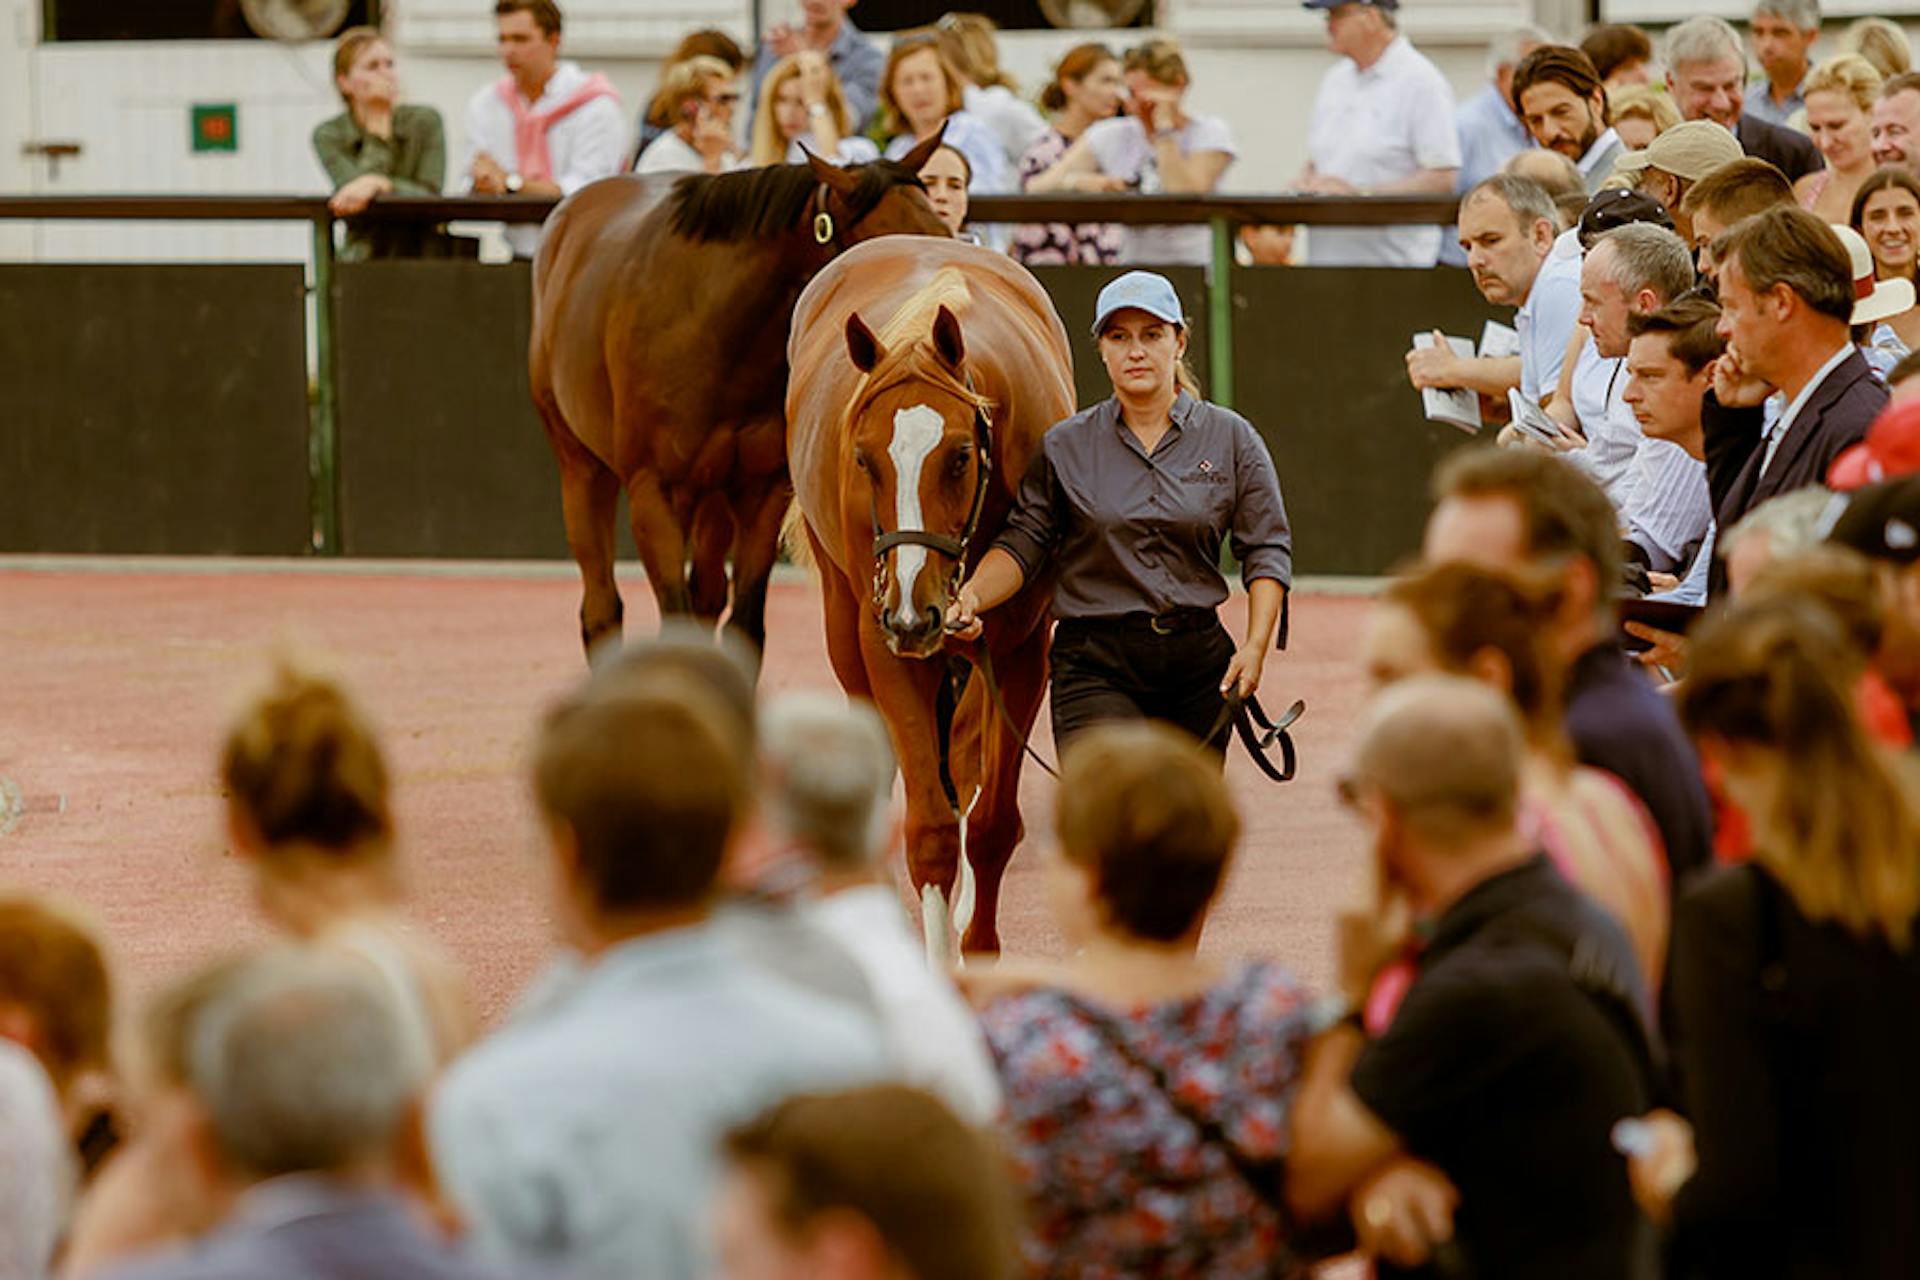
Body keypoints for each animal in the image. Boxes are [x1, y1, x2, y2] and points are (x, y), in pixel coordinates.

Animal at [529, 135, 950, 657]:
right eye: (884, 246)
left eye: (943, 229)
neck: (714, 326)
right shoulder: (654, 495)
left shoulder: (761, 492)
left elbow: (744, 623)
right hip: (581, 464)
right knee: (602, 607)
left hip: (713, 497)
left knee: (707, 594)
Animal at [786, 238, 1075, 956]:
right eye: (864, 460)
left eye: (960, 455)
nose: (915, 613)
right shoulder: (885, 641)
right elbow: (932, 831)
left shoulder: (1022, 649)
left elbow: (991, 822)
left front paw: (978, 946)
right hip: (846, 622)